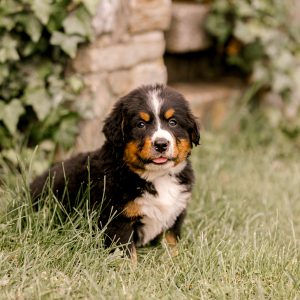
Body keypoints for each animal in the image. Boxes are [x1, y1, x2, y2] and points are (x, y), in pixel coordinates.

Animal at [30, 84, 200, 260]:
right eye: (141, 124)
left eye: (173, 122)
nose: (161, 144)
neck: (157, 176)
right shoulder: (117, 219)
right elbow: (127, 253)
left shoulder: (174, 214)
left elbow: (171, 242)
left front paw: (175, 260)